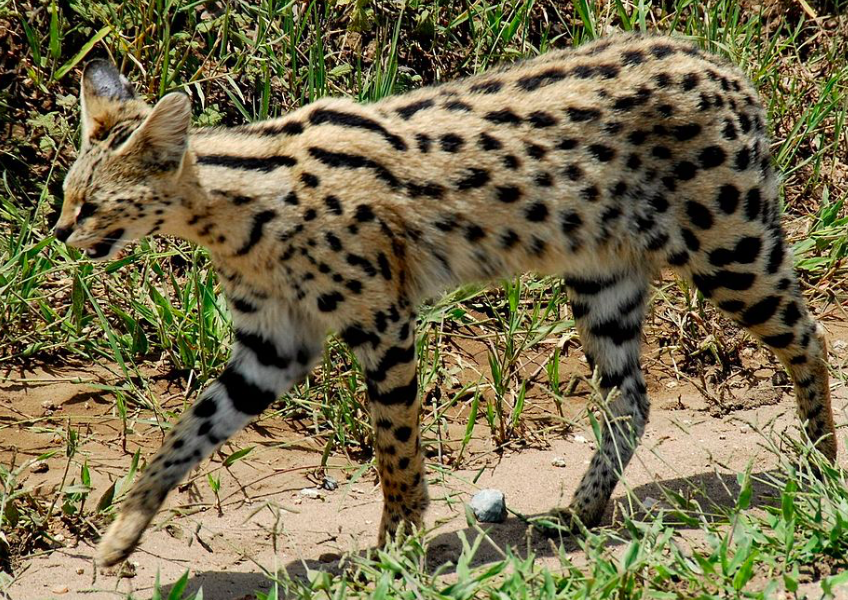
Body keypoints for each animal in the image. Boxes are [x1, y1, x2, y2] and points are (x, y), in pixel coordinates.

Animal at [52, 33, 836, 568]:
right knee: (631, 398)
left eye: (93, 205)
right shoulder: (270, 348)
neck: (234, 214)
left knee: (811, 337)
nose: (56, 233)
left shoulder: (381, 322)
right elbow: (185, 433)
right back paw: (579, 515)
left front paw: (394, 549)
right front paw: (121, 535)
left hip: (729, 250)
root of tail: (728, 70)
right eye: (64, 194)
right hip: (602, 277)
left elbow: (394, 449)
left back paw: (821, 464)